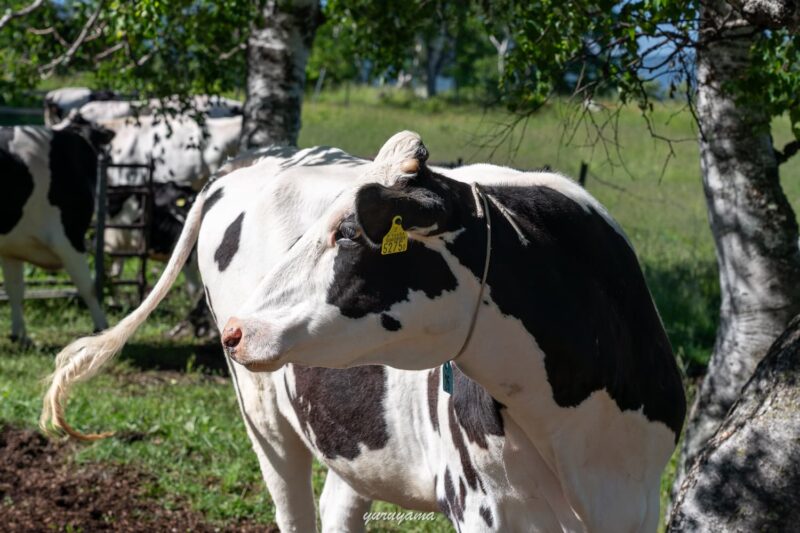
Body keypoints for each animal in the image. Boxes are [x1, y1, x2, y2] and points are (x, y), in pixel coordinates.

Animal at [40, 134, 684, 532]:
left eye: (349, 232)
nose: (238, 329)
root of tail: (251, 161)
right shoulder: (486, 505)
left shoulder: (634, 504)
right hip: (264, 418)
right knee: (294, 508)